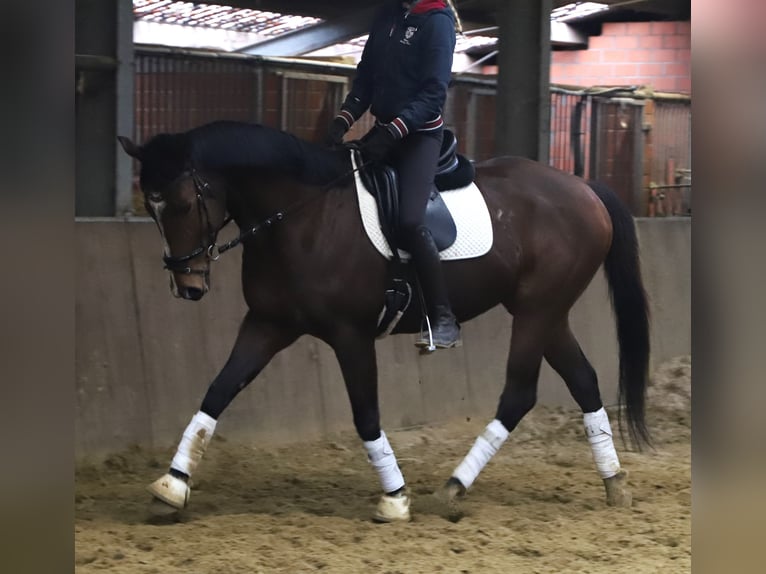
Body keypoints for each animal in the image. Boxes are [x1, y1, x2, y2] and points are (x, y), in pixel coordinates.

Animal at [118, 119, 650, 522]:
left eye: (183, 203)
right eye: (152, 207)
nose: (188, 286)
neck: (302, 217)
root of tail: (585, 188)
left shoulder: (350, 335)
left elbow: (365, 413)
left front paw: (394, 498)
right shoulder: (268, 323)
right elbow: (218, 391)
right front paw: (172, 485)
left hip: (538, 311)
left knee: (519, 393)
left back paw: (453, 487)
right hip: (546, 312)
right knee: (583, 380)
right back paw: (613, 482)